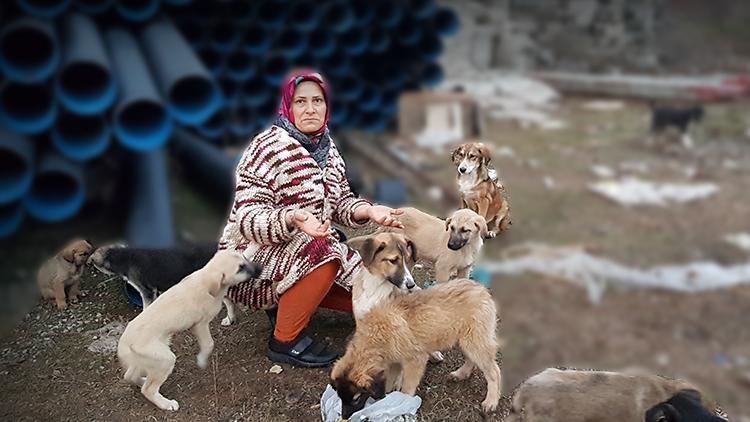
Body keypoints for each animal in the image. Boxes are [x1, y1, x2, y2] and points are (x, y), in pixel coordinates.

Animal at [115, 249, 262, 410]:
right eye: (240, 269)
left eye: (244, 260)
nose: (260, 268)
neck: (206, 280)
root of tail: (123, 344)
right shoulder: (200, 325)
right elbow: (209, 344)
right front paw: (201, 360)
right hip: (165, 359)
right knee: (148, 389)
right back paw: (167, 404)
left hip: (146, 360)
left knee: (130, 376)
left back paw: (142, 381)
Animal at [330, 278, 502, 418]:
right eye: (340, 397)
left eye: (356, 399)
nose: (344, 417)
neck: (375, 337)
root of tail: (482, 289)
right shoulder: (394, 361)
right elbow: (389, 381)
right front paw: (388, 396)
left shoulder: (415, 360)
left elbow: (407, 387)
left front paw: (403, 402)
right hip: (464, 340)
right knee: (471, 360)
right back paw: (461, 374)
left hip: (474, 341)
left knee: (494, 371)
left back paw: (491, 401)